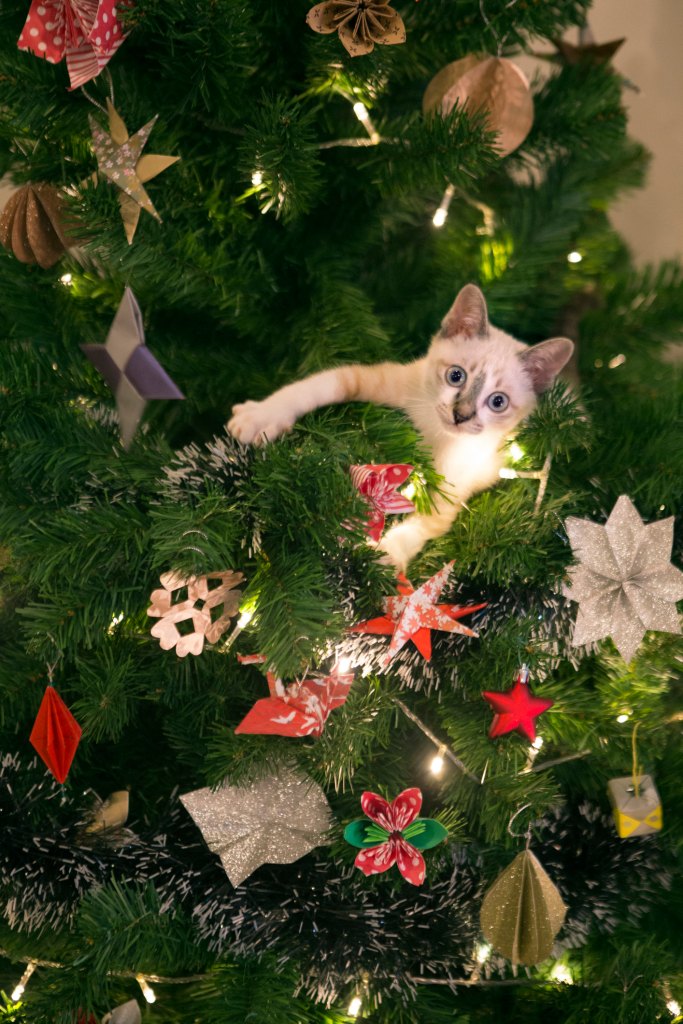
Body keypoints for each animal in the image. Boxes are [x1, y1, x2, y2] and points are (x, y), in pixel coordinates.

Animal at [228, 282, 573, 569]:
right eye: (456, 376)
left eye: (497, 402)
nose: (460, 415)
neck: (434, 433)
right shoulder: (384, 380)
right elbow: (320, 384)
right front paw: (262, 416)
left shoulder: (455, 485)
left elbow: (427, 523)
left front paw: (386, 555)